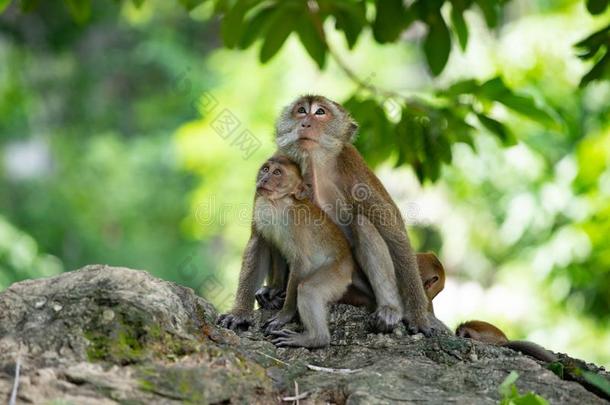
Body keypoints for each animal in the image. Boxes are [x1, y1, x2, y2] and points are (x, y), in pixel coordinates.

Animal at [274, 95, 430, 334]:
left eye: (320, 112)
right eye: (301, 110)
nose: (305, 123)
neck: (316, 167)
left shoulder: (352, 167)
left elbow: (395, 236)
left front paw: (419, 317)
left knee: (363, 223)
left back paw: (389, 309)